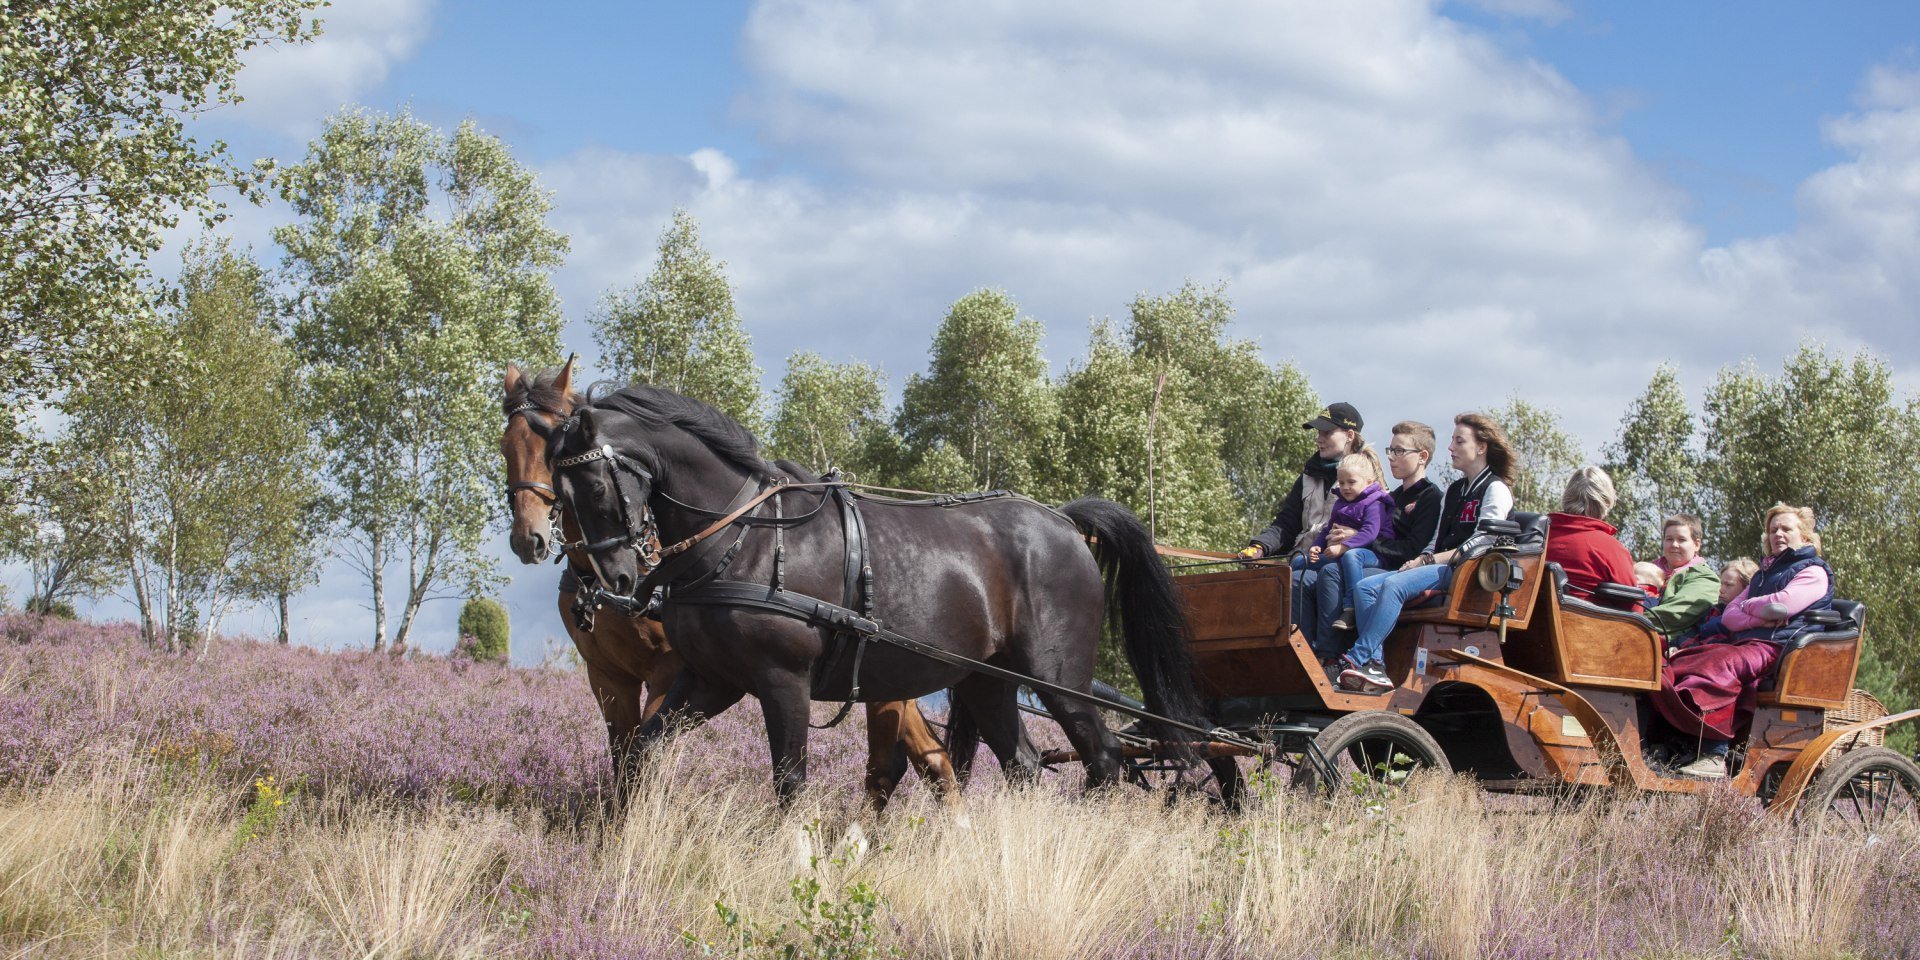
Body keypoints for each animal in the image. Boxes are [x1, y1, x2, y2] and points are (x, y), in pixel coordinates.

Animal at [503, 360, 960, 810]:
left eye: (594, 486)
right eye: (506, 446)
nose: (528, 538)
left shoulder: (671, 671)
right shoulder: (609, 677)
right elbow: (626, 757)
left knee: (908, 764)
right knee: (923, 760)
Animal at [545, 382, 1198, 802]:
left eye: (595, 488)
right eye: (559, 498)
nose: (615, 581)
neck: (742, 536)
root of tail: (1064, 523)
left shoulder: (783, 682)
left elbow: (789, 783)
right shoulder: (712, 680)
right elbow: (641, 751)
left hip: (1057, 678)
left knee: (1104, 758)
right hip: (987, 681)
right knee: (1025, 766)